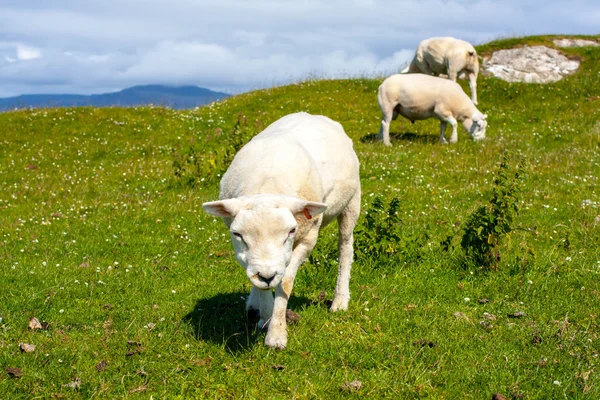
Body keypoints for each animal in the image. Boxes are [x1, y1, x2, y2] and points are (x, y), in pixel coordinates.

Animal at [202, 111, 360, 348]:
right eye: (237, 234)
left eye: (291, 231)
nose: (266, 275)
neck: (267, 186)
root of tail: (312, 114)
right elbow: (259, 278)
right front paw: (264, 317)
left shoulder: (307, 238)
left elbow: (284, 281)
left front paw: (276, 334)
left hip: (352, 201)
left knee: (345, 247)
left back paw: (340, 300)